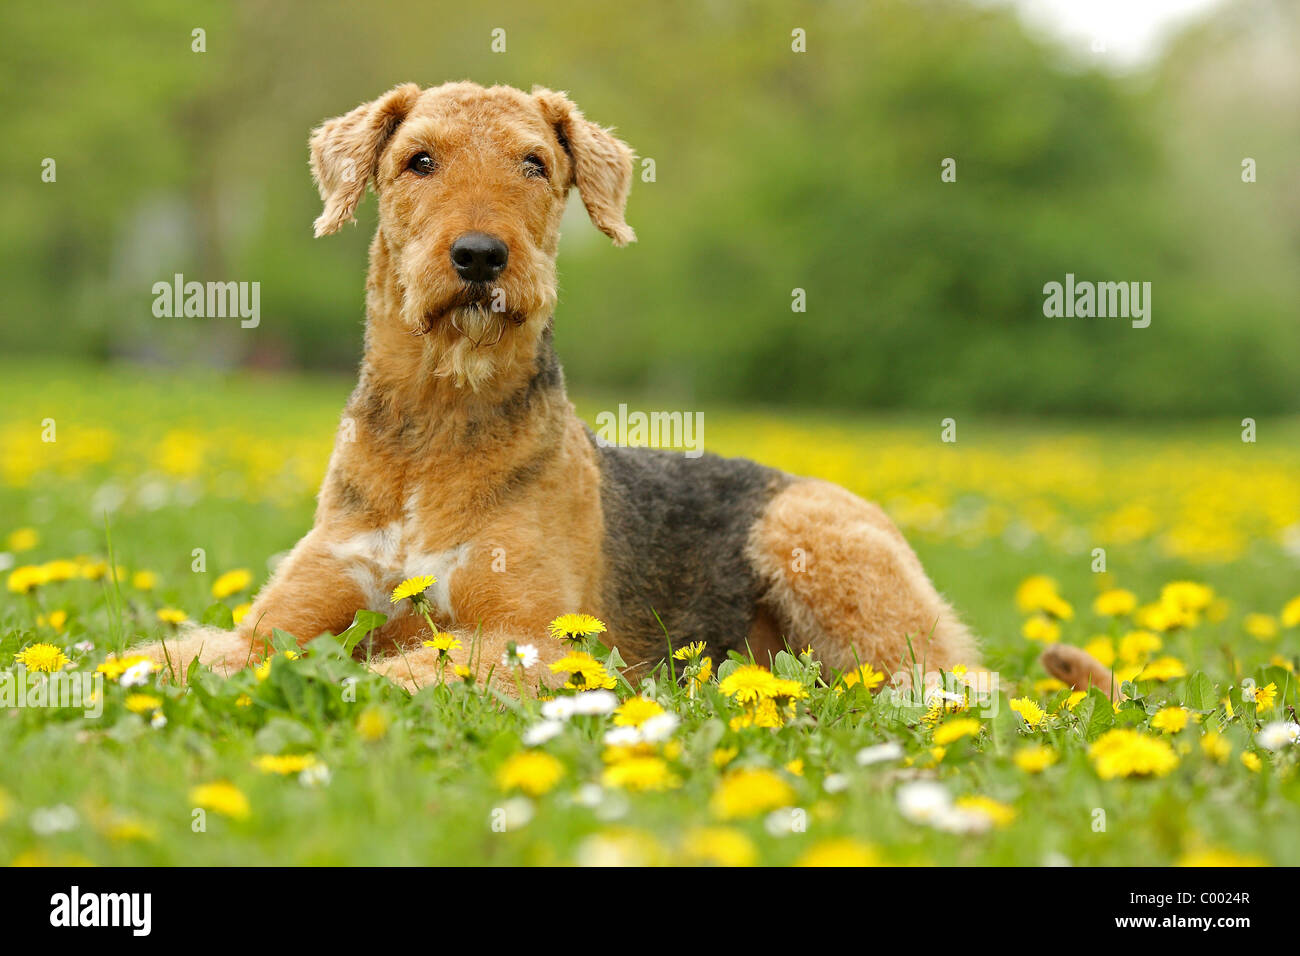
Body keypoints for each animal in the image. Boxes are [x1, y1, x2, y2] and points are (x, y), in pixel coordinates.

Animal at [137, 82, 1097, 697]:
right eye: (418, 160)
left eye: (534, 163)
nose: (480, 257)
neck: (440, 424)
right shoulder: (280, 621)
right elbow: (190, 655)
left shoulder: (534, 640)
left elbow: (392, 673)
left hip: (817, 549)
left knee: (956, 682)